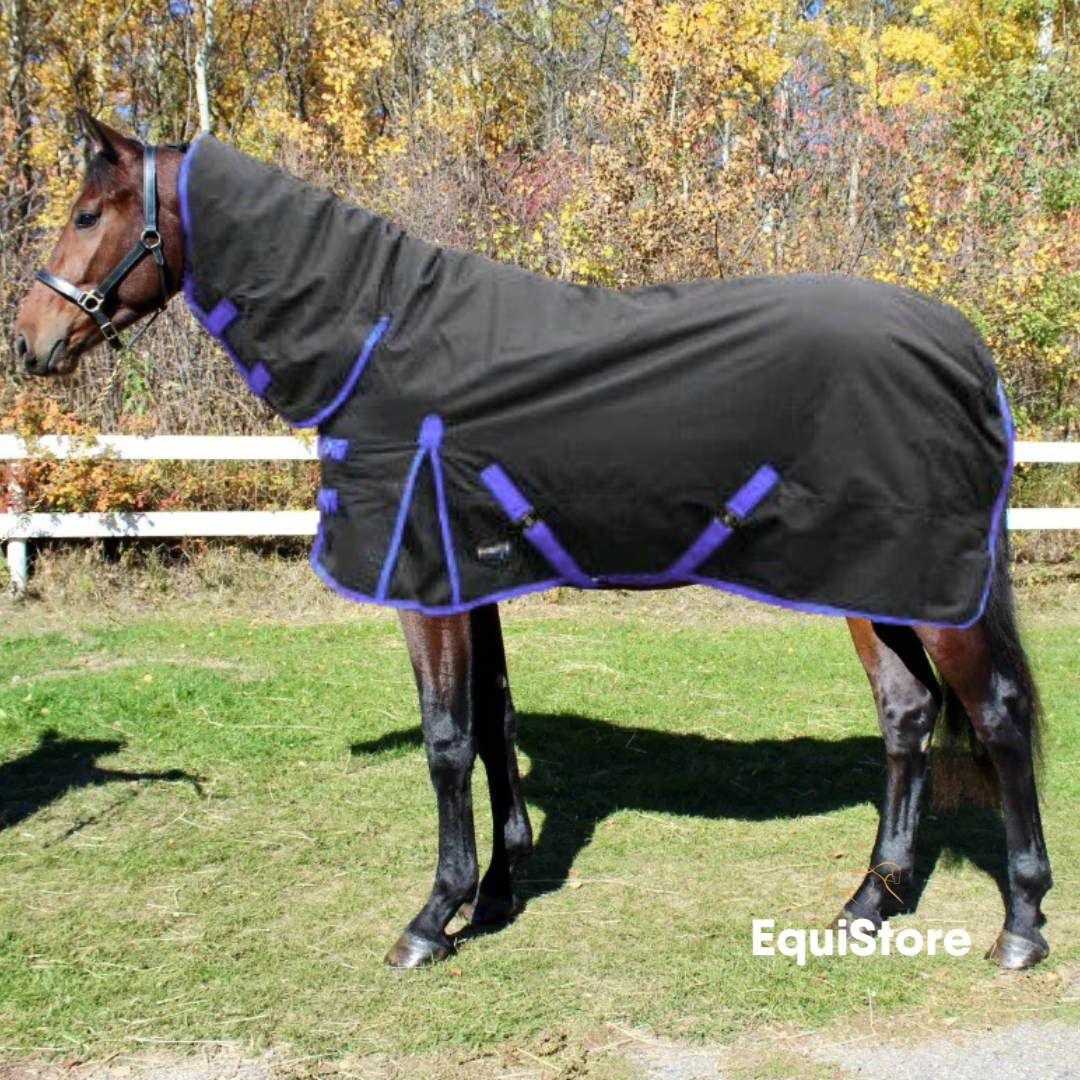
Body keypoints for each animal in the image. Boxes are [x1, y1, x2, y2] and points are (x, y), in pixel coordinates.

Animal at [13, 113, 1052, 972]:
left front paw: (433, 917)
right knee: (908, 717)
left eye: (85, 212)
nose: (30, 340)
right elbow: (494, 722)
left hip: (928, 588)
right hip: (878, 584)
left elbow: (446, 739)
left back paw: (1021, 924)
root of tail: (964, 347)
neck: (384, 340)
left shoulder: (425, 584)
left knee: (996, 716)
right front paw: (500, 889)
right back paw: (869, 902)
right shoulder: (470, 580)